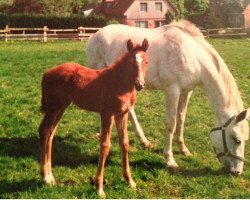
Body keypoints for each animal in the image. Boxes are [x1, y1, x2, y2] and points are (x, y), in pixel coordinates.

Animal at [39, 38, 148, 198]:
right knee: (45, 130)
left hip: (61, 106)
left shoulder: (122, 115)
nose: (140, 84)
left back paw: (50, 176)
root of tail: (46, 73)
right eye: (131, 62)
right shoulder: (107, 114)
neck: (119, 82)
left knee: (50, 132)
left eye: (146, 61)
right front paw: (99, 188)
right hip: (54, 106)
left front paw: (130, 181)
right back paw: (45, 177)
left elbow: (125, 143)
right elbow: (105, 145)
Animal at [85, 20, 248, 175]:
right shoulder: (172, 90)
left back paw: (144, 141)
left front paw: (183, 149)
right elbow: (171, 124)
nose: (237, 172)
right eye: (237, 140)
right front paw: (170, 160)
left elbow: (181, 119)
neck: (192, 55)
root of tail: (95, 35)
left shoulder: (186, 91)